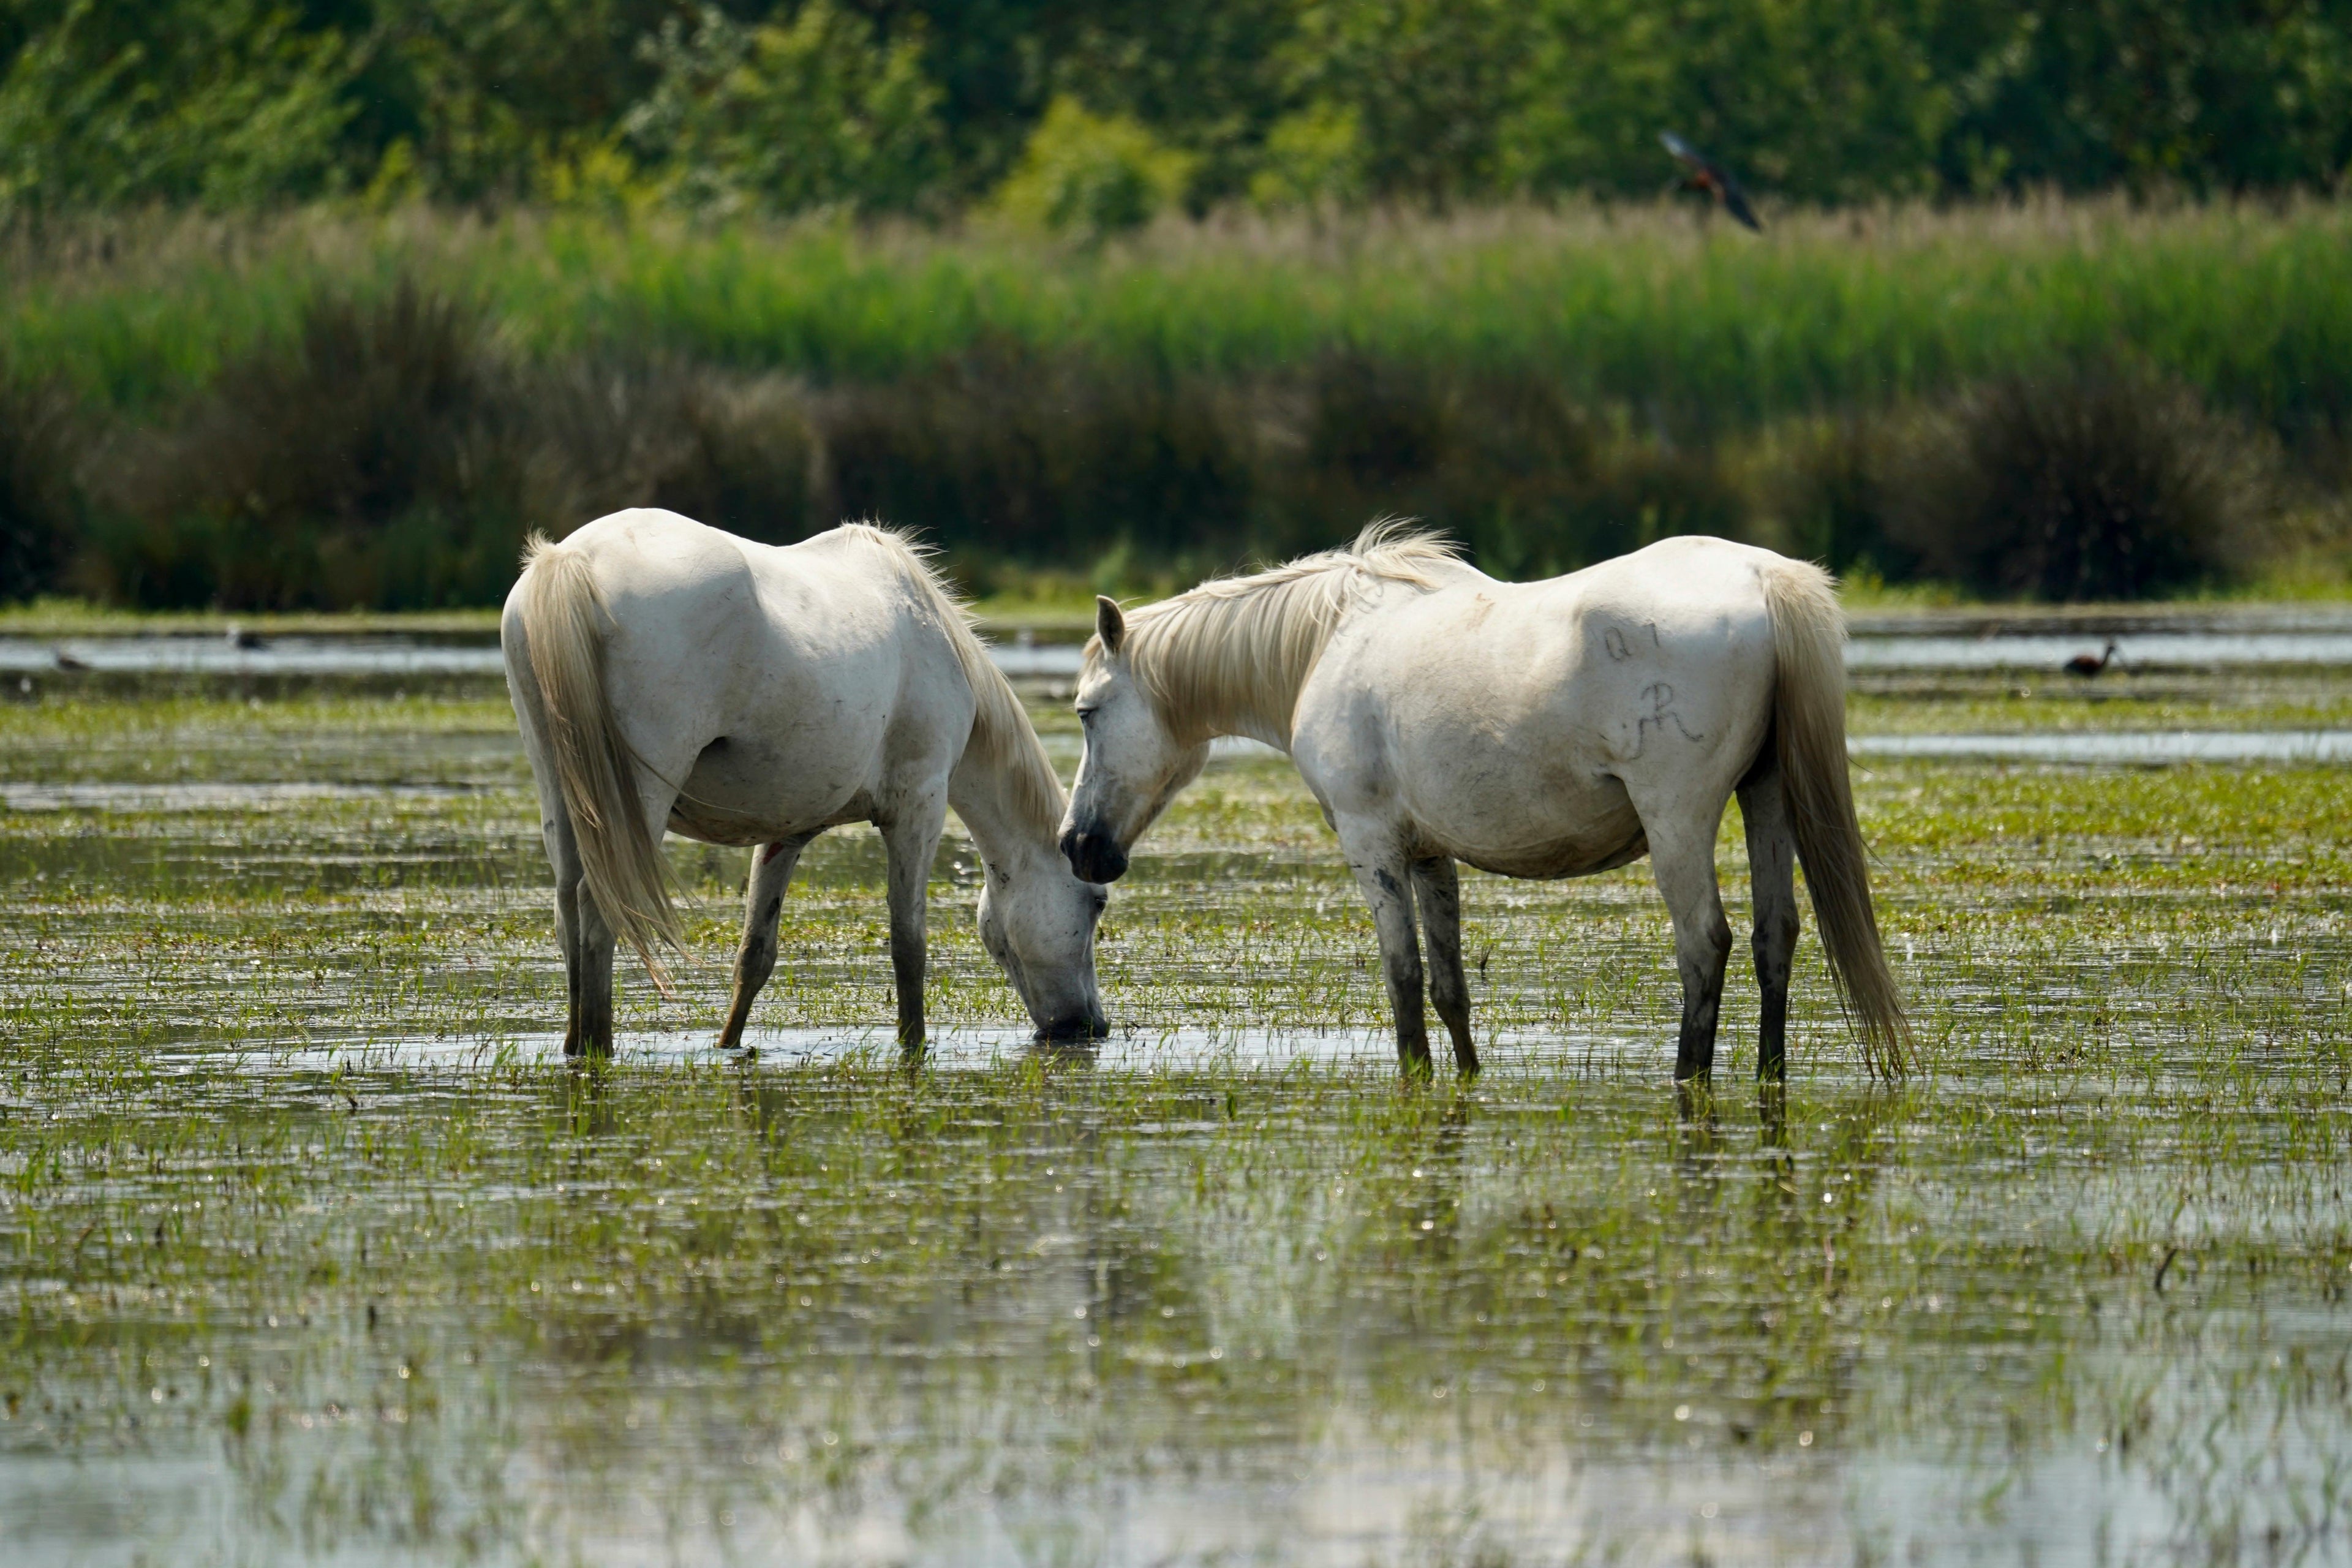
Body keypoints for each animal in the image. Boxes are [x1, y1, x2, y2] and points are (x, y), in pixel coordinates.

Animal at [502, 509, 1107, 1056]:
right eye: (1096, 902)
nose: (1091, 1026)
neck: (927, 631)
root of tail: (572, 559)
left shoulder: (785, 834)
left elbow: (755, 956)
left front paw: (729, 1045)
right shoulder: (920, 807)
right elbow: (908, 946)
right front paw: (913, 1045)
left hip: (562, 797)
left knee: (568, 910)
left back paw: (575, 1046)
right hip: (637, 802)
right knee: (599, 911)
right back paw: (597, 1047)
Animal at [1059, 524, 1908, 1083]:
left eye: (1087, 712)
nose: (1076, 844)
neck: (1325, 642)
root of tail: (1763, 577)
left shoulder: (1372, 843)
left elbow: (1402, 979)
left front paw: (1417, 1081)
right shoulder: (1430, 851)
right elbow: (1449, 987)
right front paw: (1465, 1078)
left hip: (1679, 820)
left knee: (1705, 944)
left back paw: (1687, 1078)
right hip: (1767, 799)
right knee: (1774, 939)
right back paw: (1768, 1077)